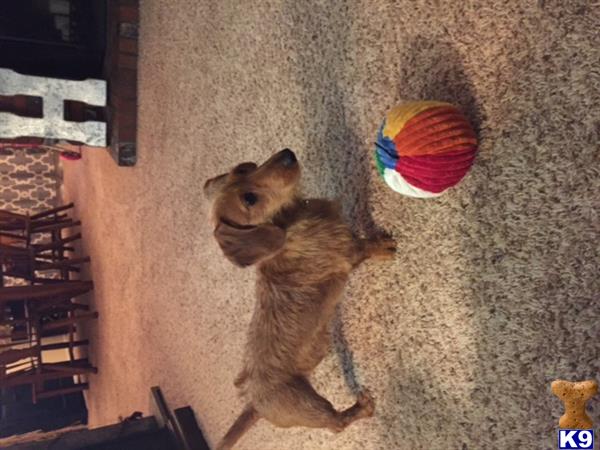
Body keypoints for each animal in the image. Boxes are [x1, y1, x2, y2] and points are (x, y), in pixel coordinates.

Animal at [204, 149, 396, 448]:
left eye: (243, 169)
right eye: (249, 199)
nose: (287, 155)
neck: (290, 222)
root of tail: (254, 404)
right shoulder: (348, 252)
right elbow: (367, 247)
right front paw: (386, 247)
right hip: (308, 404)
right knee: (336, 424)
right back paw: (362, 408)